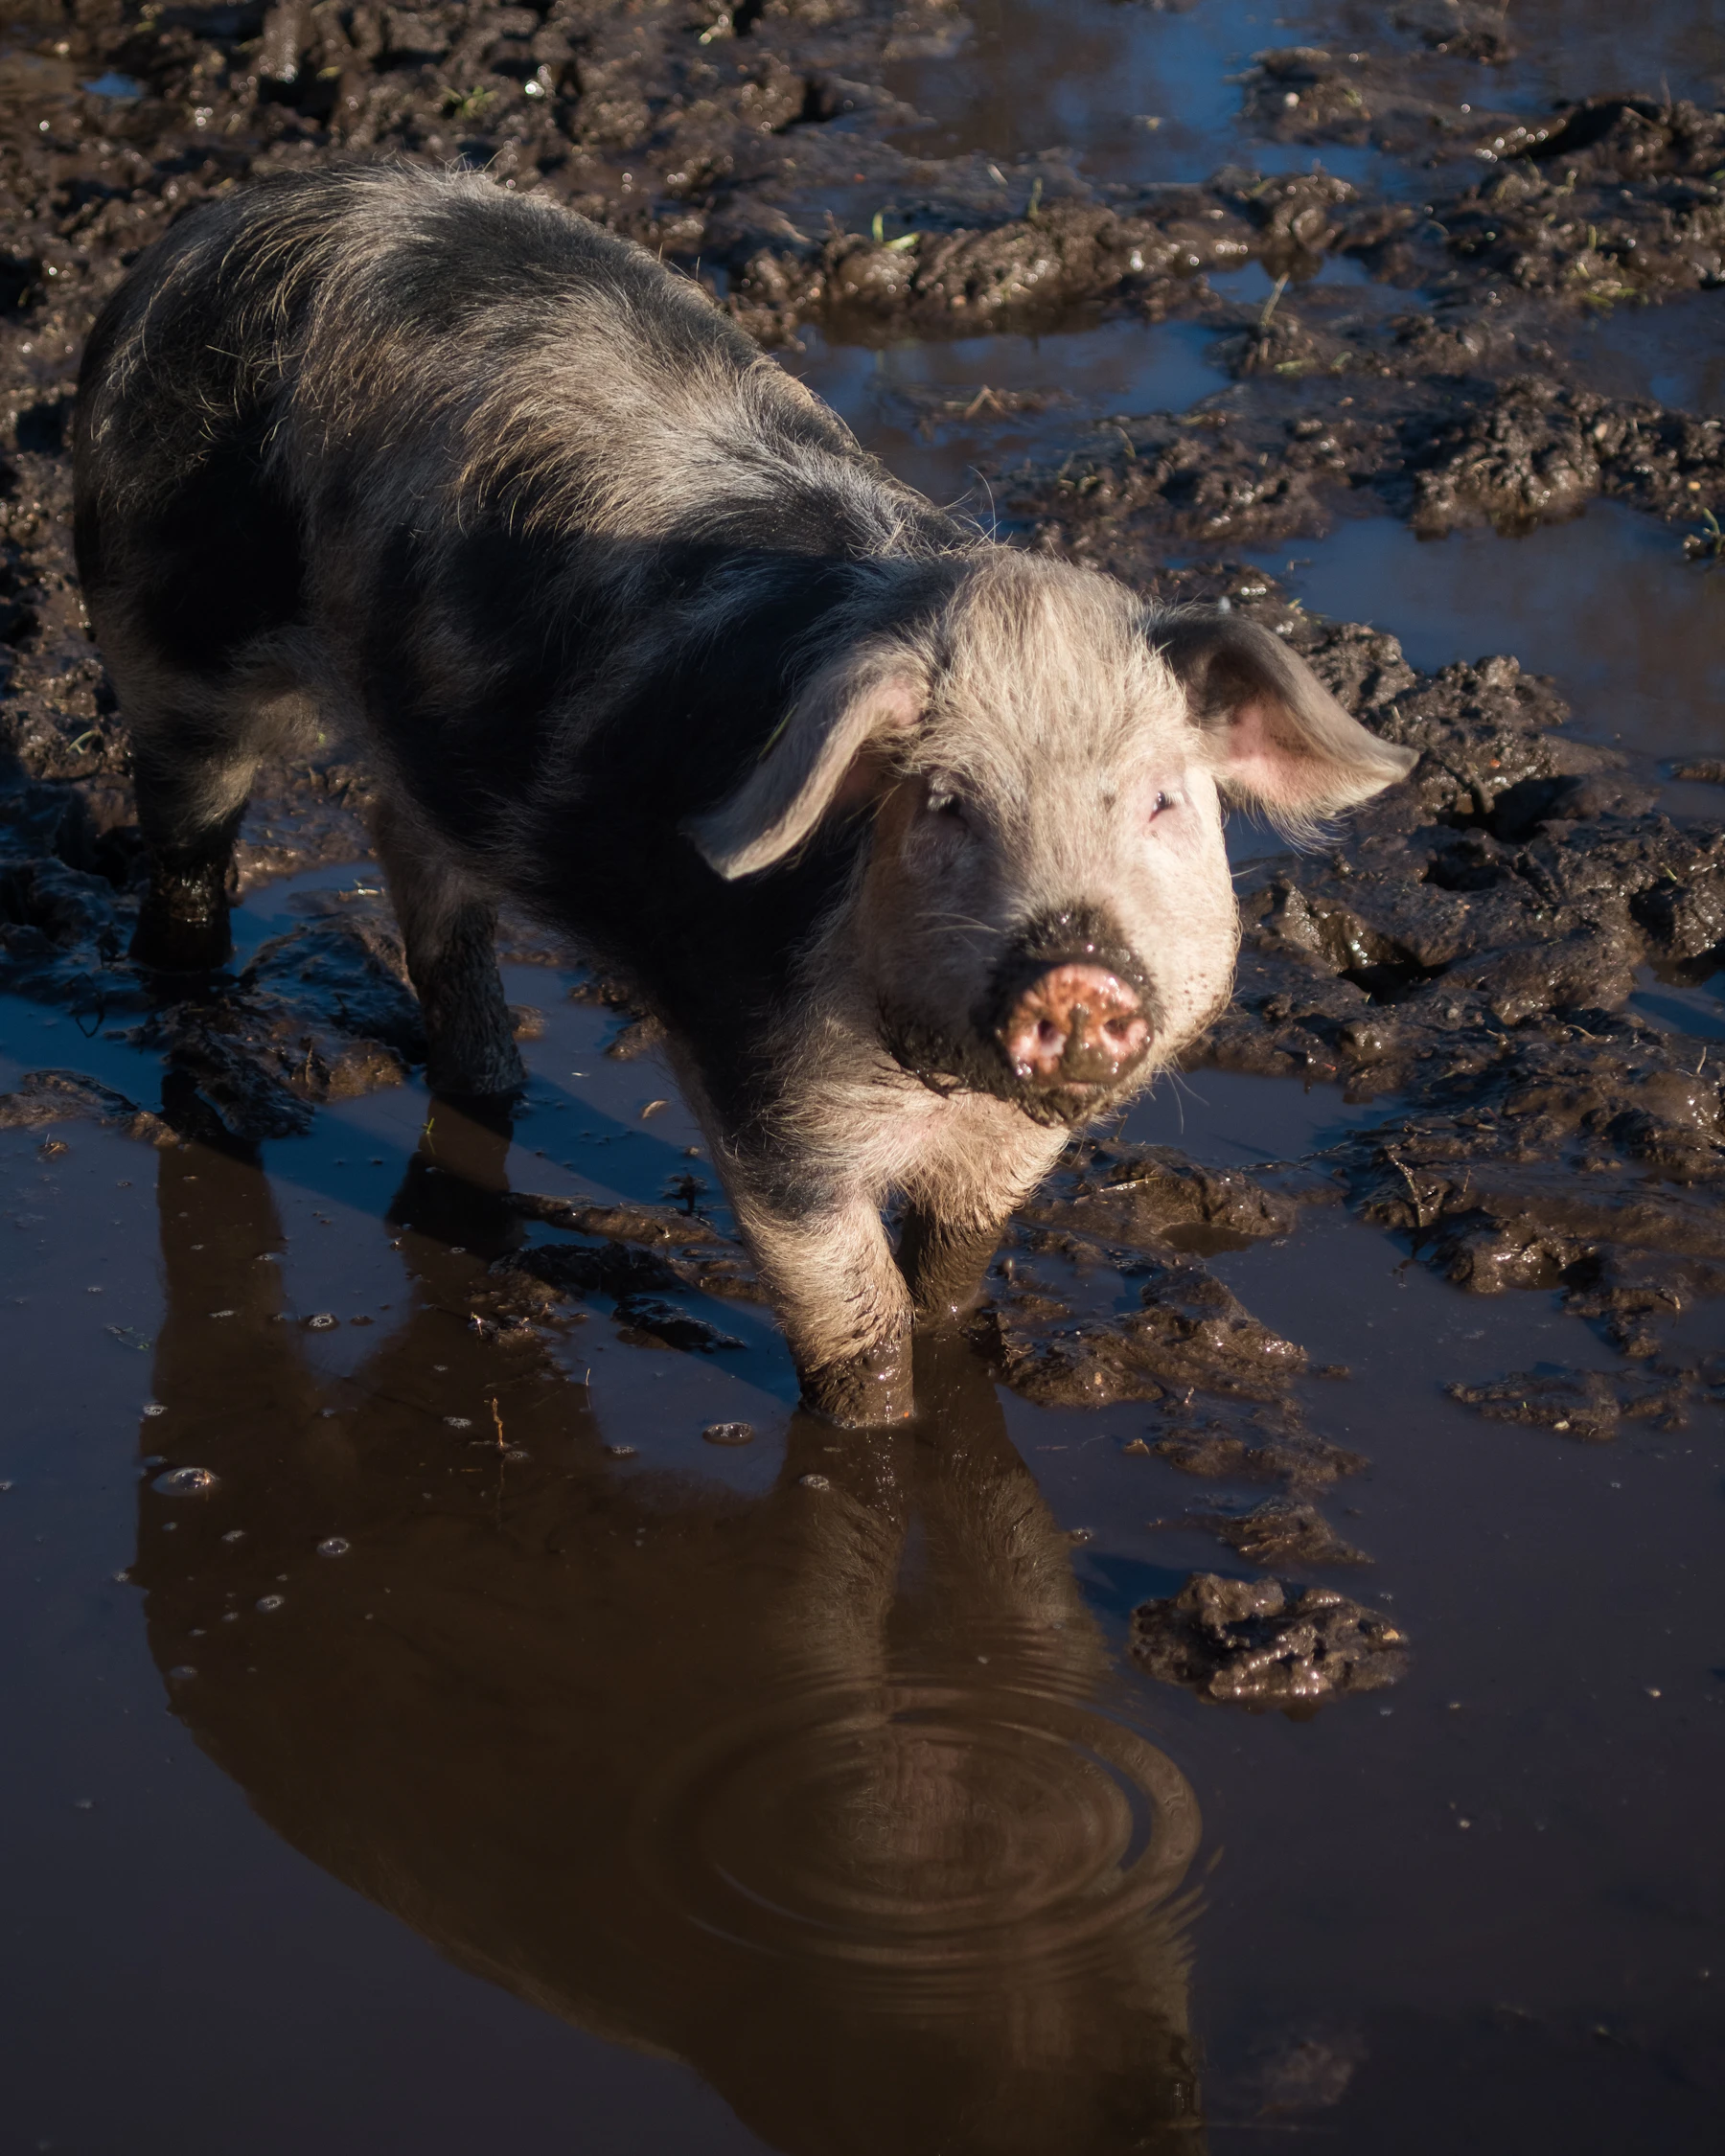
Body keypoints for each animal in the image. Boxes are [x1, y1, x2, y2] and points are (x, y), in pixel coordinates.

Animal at [73, 163, 1414, 1425]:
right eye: (943, 802)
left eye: (1161, 803)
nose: (1073, 964)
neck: (934, 1082)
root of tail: (220, 224)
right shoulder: (764, 1098)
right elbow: (858, 1329)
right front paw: (880, 1436)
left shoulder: (1011, 1146)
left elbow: (950, 1279)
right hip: (171, 634)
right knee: (188, 826)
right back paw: (188, 1008)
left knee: (407, 839)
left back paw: (490, 1080)